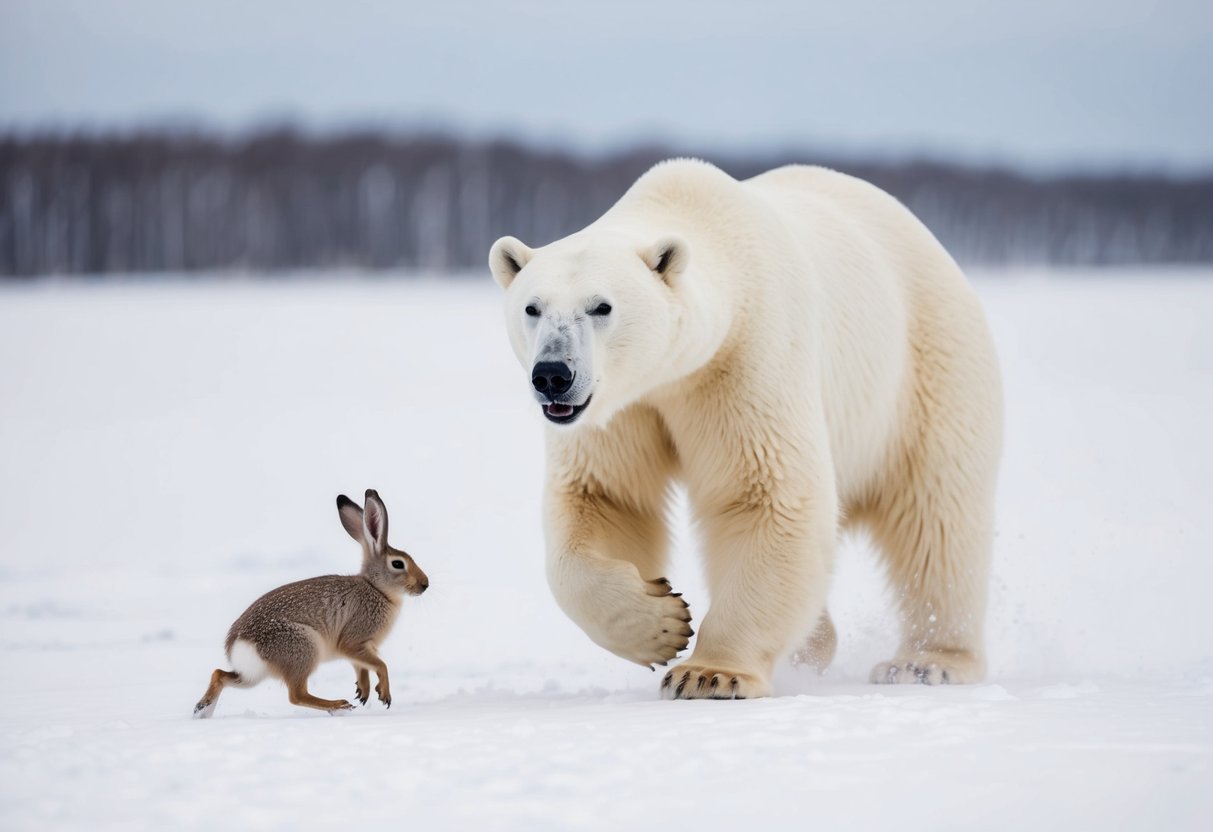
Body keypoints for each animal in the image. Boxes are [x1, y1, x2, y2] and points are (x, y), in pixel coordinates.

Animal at [193, 489, 428, 718]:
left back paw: (202, 710)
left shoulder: (360, 650)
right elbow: (380, 664)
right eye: (397, 564)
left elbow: (361, 668)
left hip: (255, 674)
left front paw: (364, 691)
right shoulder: (355, 640)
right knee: (297, 695)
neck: (376, 589)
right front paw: (384, 694)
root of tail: (239, 645)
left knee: (220, 675)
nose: (425, 584)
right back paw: (338, 705)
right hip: (304, 648)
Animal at [488, 159, 1002, 699]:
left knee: (939, 520)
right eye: (532, 307)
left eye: (601, 306)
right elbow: (605, 499)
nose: (552, 374)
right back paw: (815, 643)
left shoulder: (749, 359)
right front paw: (659, 625)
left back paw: (926, 662)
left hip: (927, 371)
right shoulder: (619, 410)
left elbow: (767, 494)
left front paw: (709, 674)